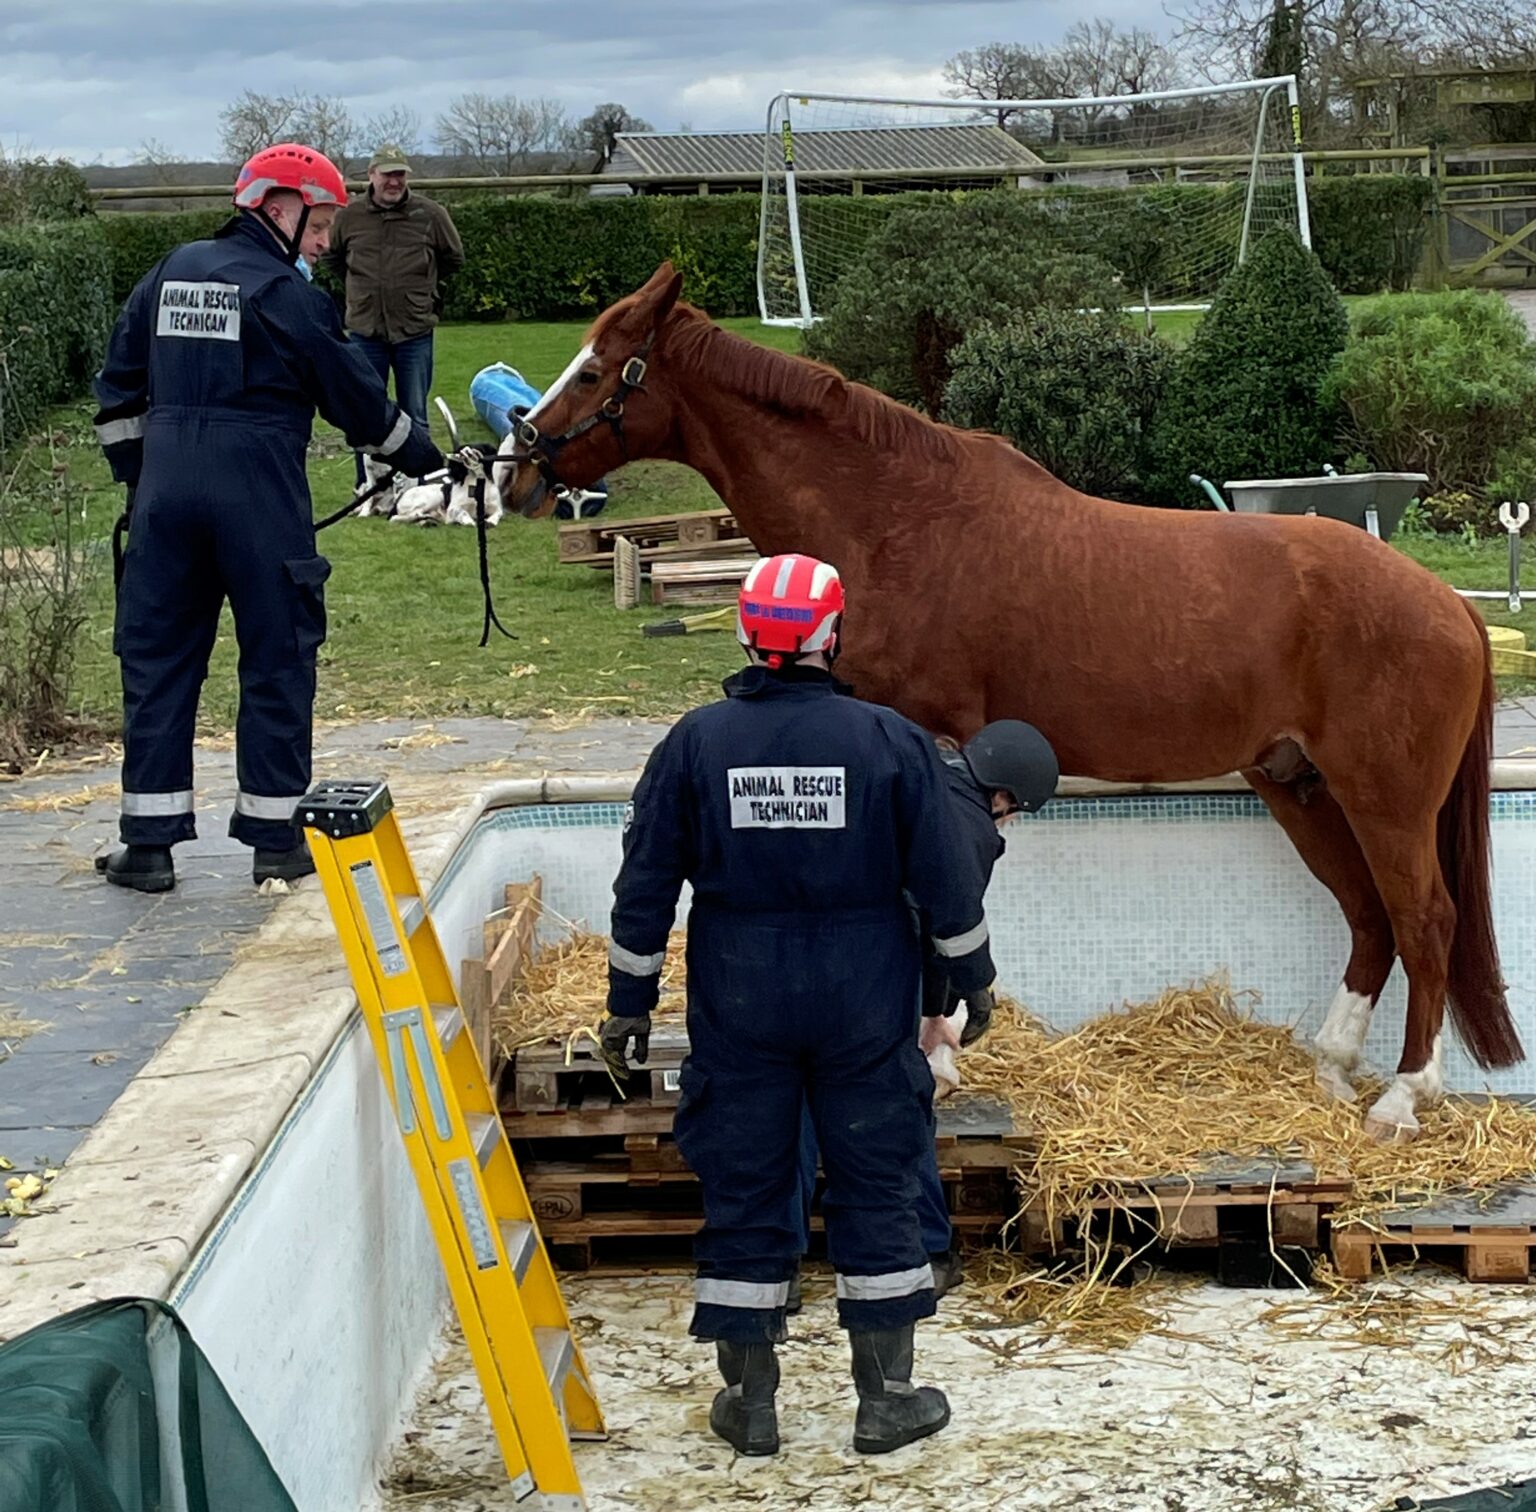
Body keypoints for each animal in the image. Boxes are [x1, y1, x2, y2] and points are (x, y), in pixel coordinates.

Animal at [491, 261, 1522, 1142]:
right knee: (1369, 916)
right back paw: (1335, 1066)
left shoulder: (932, 746)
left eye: (594, 371)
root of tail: (1448, 605)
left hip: (1384, 800)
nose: (512, 471)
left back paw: (1403, 1097)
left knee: (1426, 919)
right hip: (1297, 786)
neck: (898, 523)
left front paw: (939, 1057)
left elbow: (937, 902)